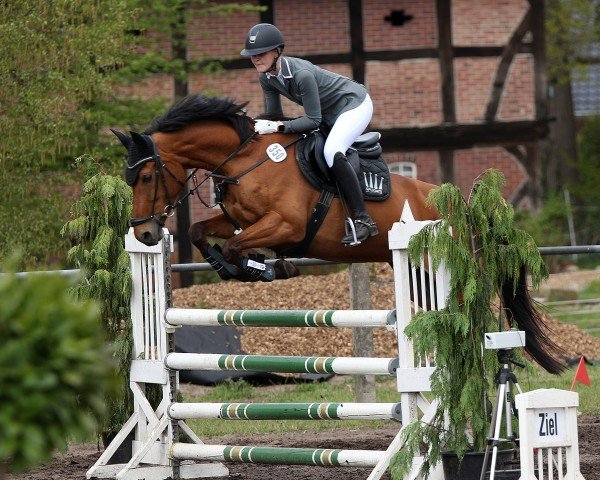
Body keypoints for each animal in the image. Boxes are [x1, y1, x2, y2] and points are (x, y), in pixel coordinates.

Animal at [113, 94, 568, 376]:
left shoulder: (287, 225)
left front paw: (263, 267)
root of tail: (465, 208)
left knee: (467, 324)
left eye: (148, 176)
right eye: (129, 179)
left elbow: (243, 244)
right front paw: (233, 266)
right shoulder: (237, 218)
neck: (244, 159)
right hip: (418, 276)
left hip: (444, 270)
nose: (147, 233)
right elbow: (200, 229)